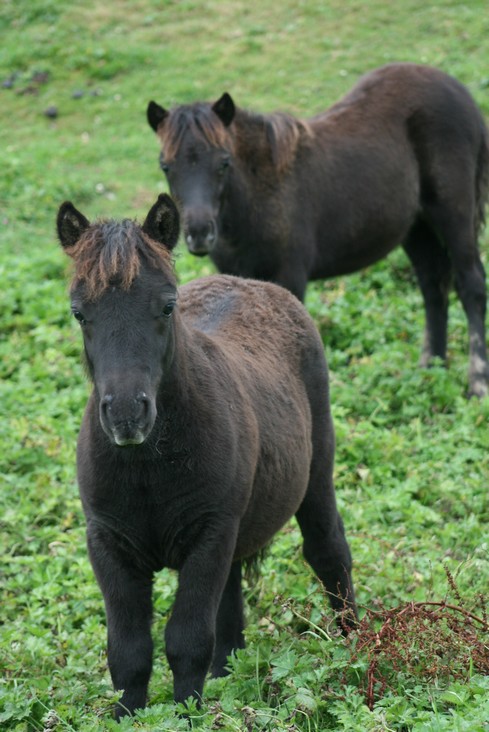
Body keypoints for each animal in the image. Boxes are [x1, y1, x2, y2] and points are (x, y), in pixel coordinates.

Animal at [57, 192, 356, 716]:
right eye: (79, 312)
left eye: (166, 306)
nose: (127, 414)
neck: (148, 467)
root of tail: (257, 286)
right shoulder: (108, 542)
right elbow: (129, 650)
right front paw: (133, 715)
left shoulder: (210, 534)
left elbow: (186, 639)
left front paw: (185, 715)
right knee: (231, 599)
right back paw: (227, 675)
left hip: (315, 479)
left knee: (328, 551)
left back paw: (357, 649)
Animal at [148, 63, 488, 398]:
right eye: (166, 166)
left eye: (224, 163)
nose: (199, 232)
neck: (260, 195)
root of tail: (460, 91)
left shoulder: (290, 276)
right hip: (416, 227)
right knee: (433, 286)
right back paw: (430, 370)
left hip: (454, 214)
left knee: (470, 284)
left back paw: (477, 385)